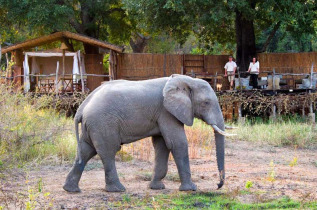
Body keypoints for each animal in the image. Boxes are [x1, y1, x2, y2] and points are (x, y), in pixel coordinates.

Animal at [62, 74, 230, 193]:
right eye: (206, 103)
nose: (218, 185)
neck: (186, 80)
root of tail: (81, 107)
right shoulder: (166, 111)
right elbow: (177, 143)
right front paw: (190, 189)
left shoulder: (163, 114)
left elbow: (162, 145)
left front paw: (157, 188)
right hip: (103, 123)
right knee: (108, 151)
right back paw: (117, 190)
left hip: (93, 125)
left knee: (85, 151)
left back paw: (71, 189)